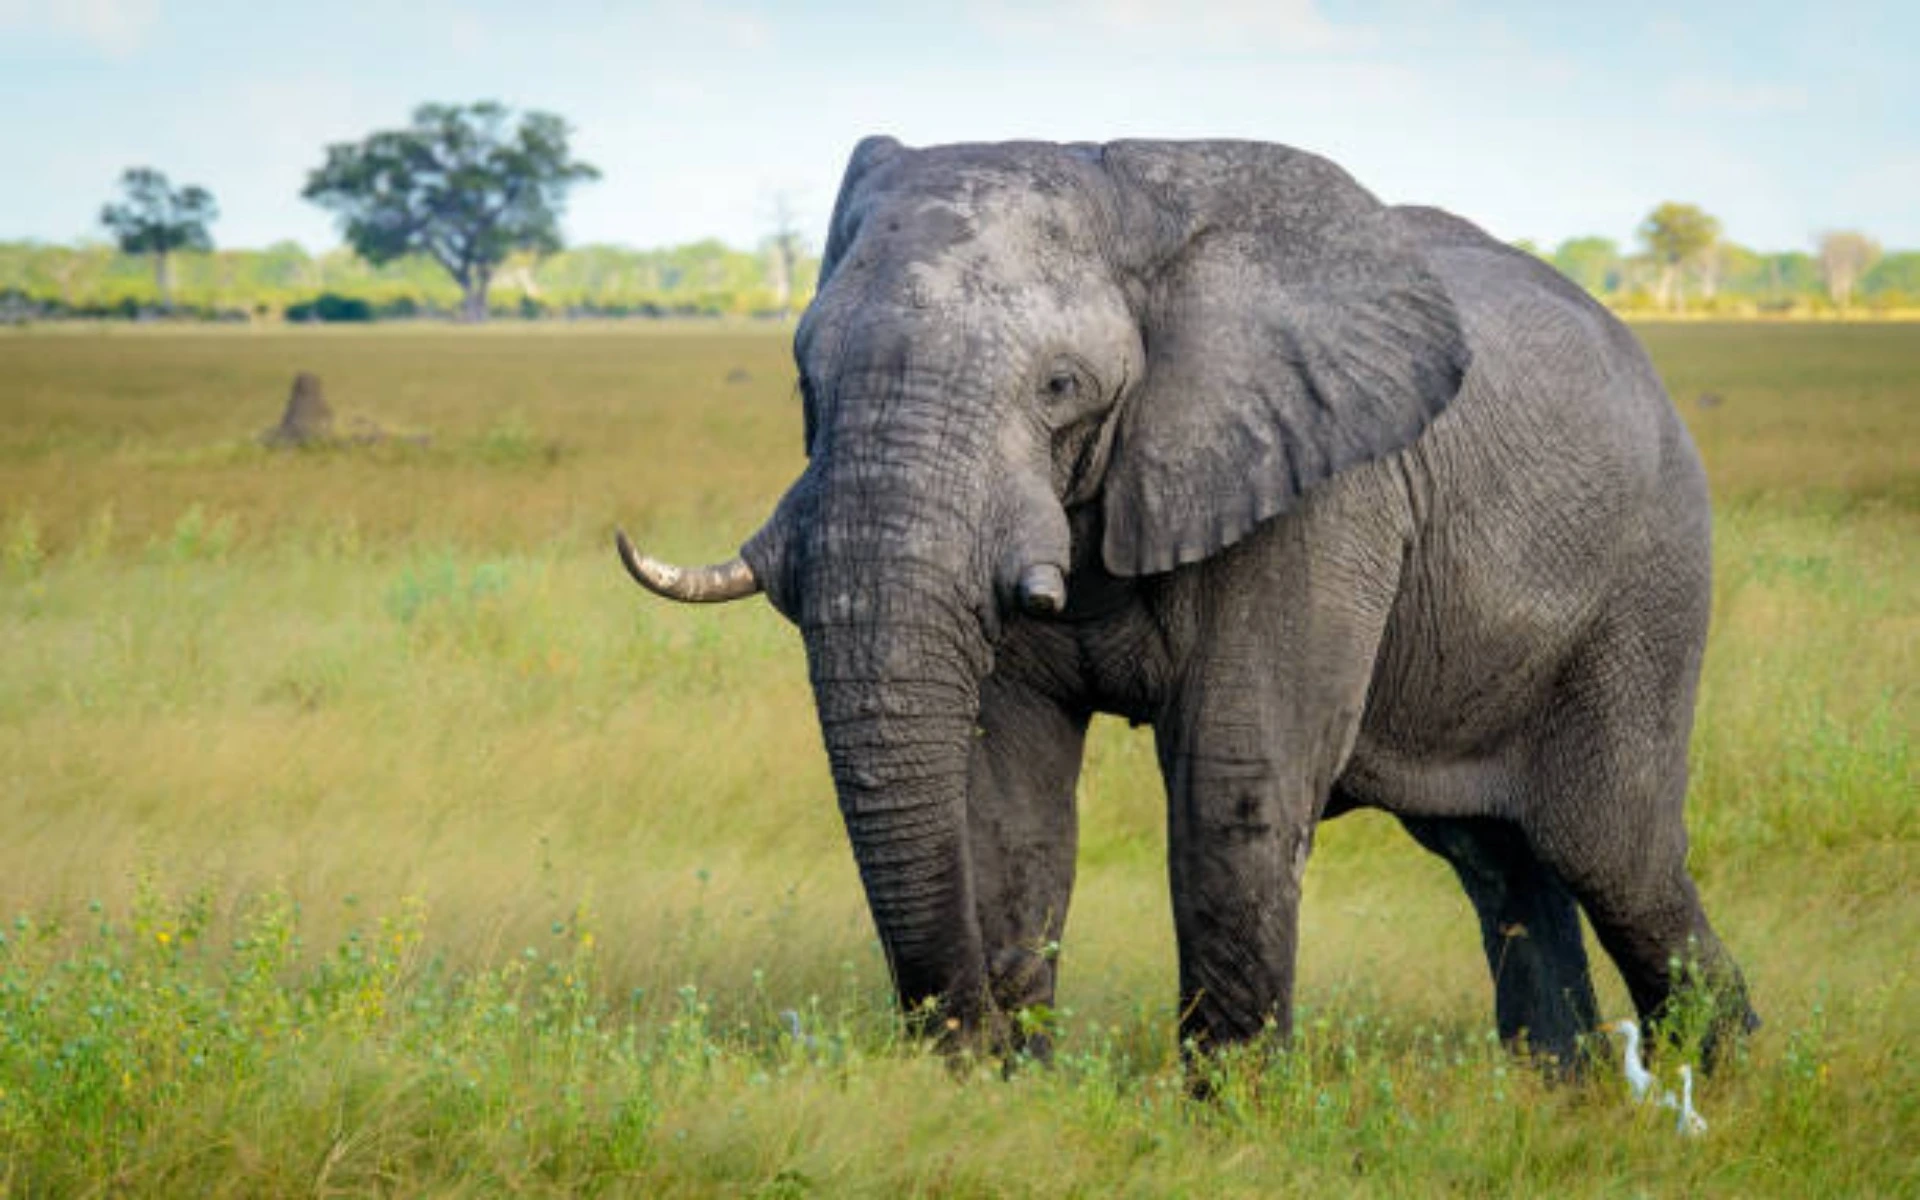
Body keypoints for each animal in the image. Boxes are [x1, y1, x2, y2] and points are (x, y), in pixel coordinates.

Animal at [617, 136, 1757, 1069]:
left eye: (1061, 386)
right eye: (806, 380)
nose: (962, 1040)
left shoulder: (1320, 485)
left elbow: (1232, 778)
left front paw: (1232, 1116)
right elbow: (1009, 797)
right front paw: (1011, 1096)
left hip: (1647, 589)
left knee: (1615, 855)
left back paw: (1725, 1085)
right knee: (1501, 866)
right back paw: (1561, 1093)